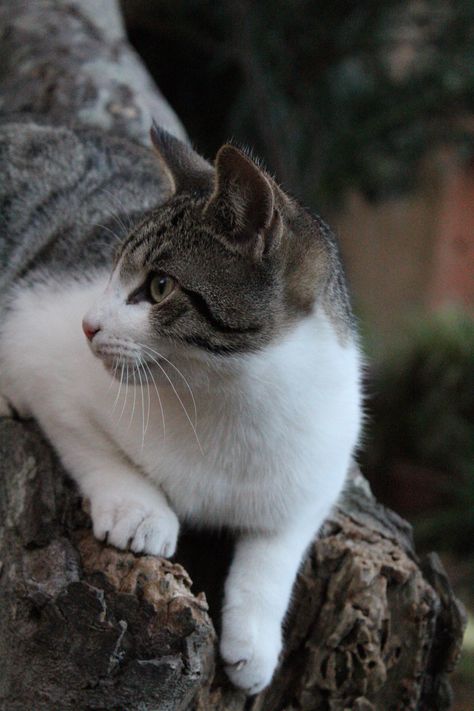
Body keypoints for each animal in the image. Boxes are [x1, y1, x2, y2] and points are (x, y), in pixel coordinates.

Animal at [0, 118, 362, 696]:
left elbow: (276, 553)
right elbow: (91, 445)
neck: (227, 398)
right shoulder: (42, 354)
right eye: (110, 271)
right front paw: (140, 511)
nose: (87, 325)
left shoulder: (319, 473)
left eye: (159, 286)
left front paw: (255, 643)